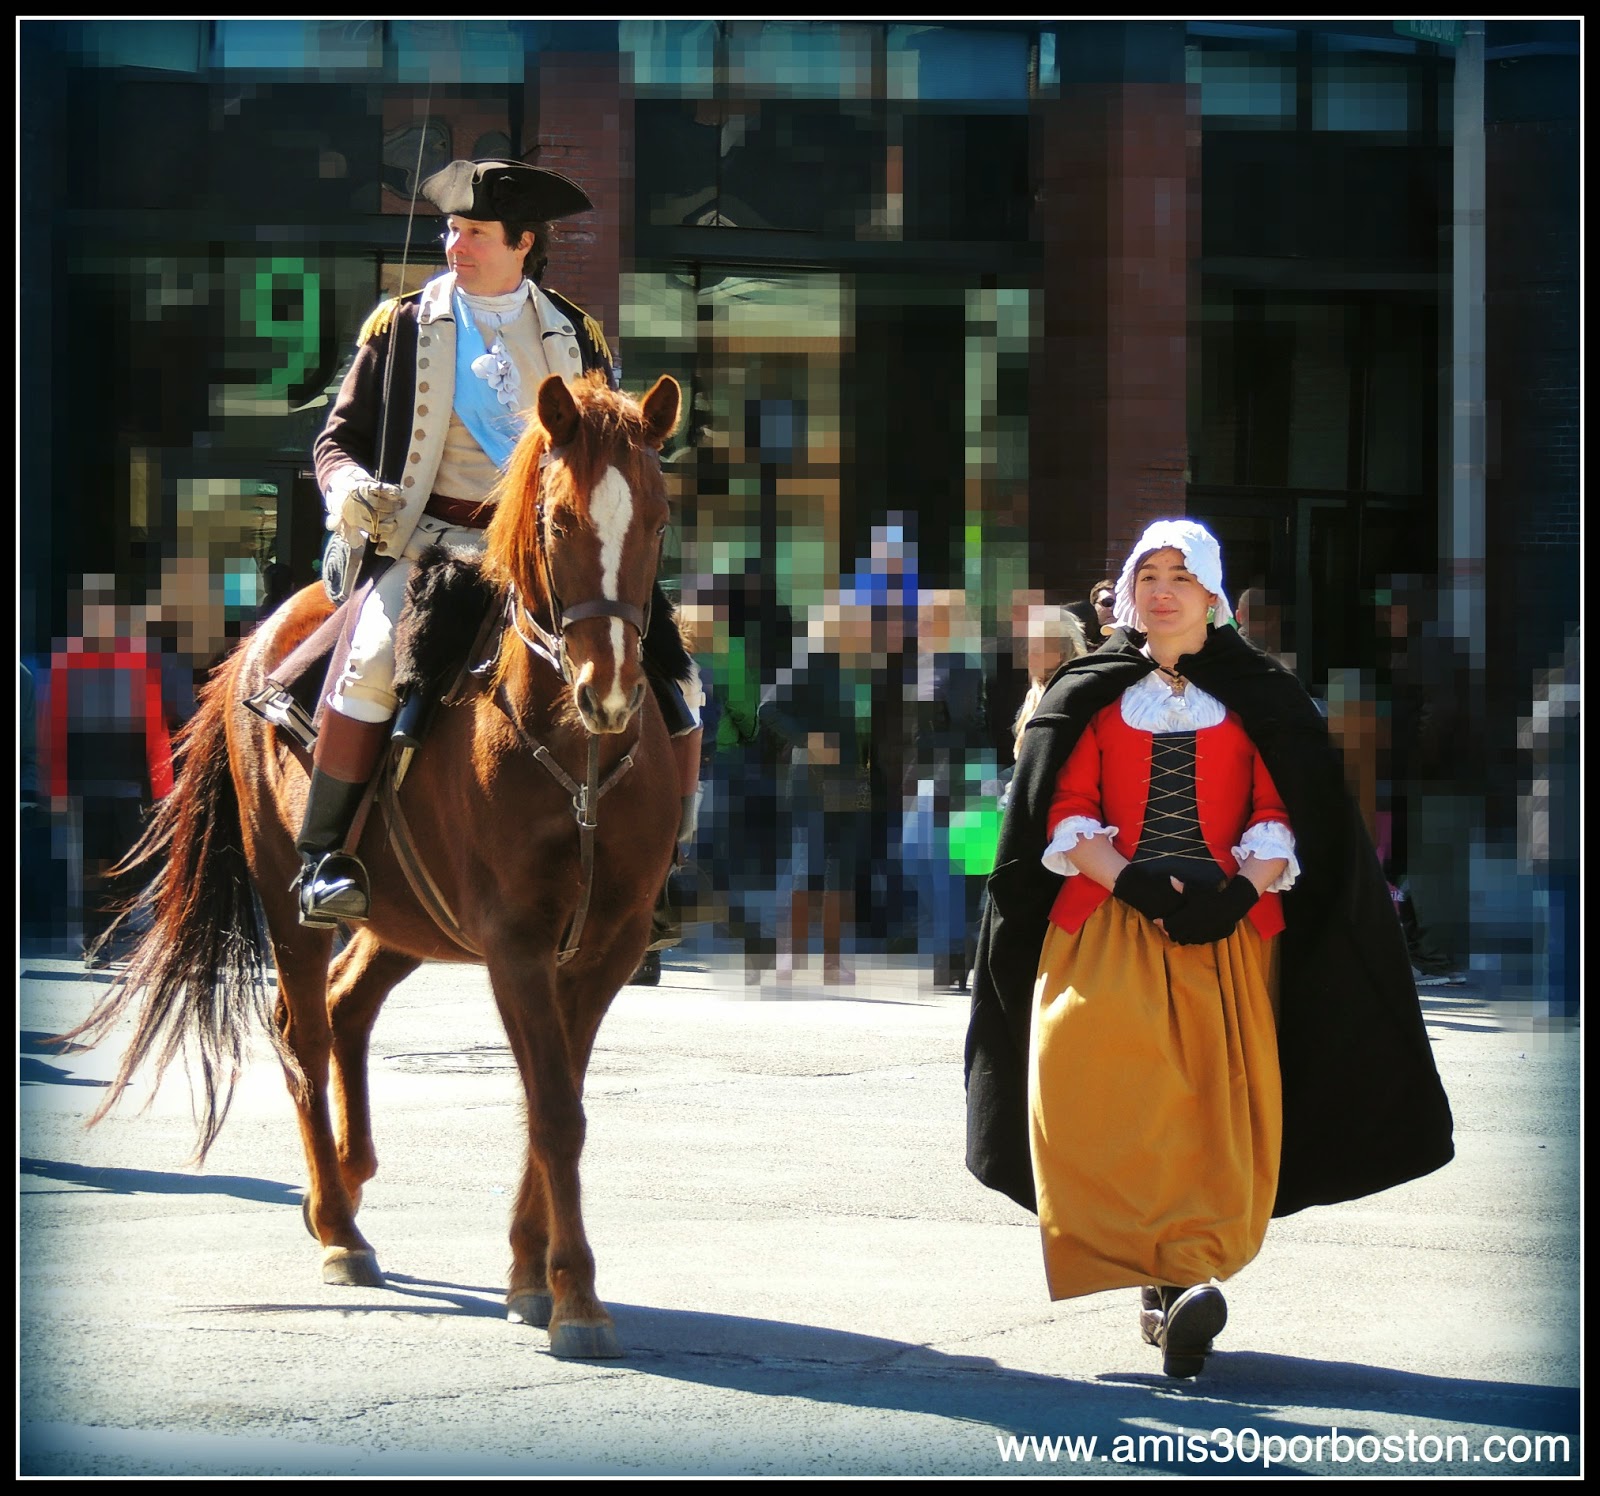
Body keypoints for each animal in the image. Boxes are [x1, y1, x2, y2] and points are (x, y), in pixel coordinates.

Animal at [64, 371, 681, 1356]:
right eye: (556, 521)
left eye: (658, 518)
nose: (611, 691)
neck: (573, 753)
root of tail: (261, 633)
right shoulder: (515, 943)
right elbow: (554, 1108)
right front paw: (576, 1294)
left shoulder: (607, 946)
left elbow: (559, 1099)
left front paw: (528, 1267)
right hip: (290, 896)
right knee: (305, 1032)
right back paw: (337, 1228)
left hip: (405, 917)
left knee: (348, 1010)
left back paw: (347, 1187)